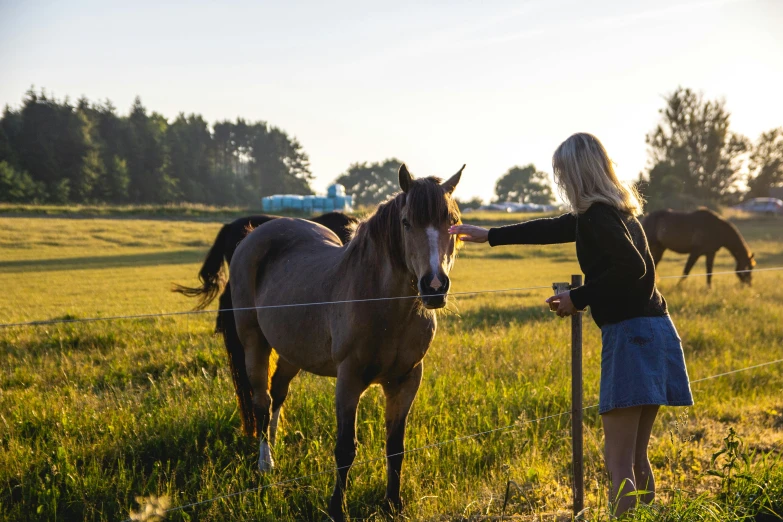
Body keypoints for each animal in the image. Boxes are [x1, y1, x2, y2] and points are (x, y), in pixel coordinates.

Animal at [227, 164, 462, 520]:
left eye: (452, 221)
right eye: (406, 222)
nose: (434, 286)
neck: (382, 305)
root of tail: (254, 234)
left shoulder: (406, 380)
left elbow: (396, 447)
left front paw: (393, 504)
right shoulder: (349, 380)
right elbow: (345, 450)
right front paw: (337, 509)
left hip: (292, 351)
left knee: (278, 393)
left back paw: (275, 446)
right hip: (254, 343)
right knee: (262, 401)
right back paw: (265, 464)